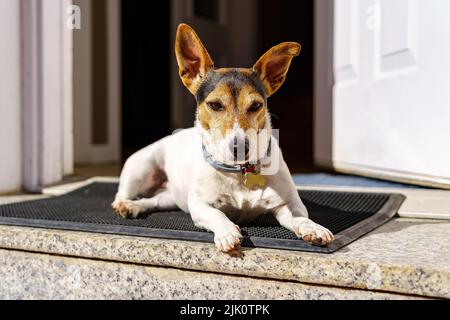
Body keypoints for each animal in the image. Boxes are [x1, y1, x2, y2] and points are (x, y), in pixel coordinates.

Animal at [110, 23, 332, 252]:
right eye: (215, 104)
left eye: (256, 105)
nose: (240, 148)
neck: (239, 172)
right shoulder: (199, 205)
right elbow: (217, 214)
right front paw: (227, 231)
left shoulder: (288, 203)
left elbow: (300, 217)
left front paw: (312, 227)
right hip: (140, 167)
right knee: (123, 193)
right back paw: (125, 204)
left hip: (170, 198)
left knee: (153, 202)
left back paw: (136, 206)